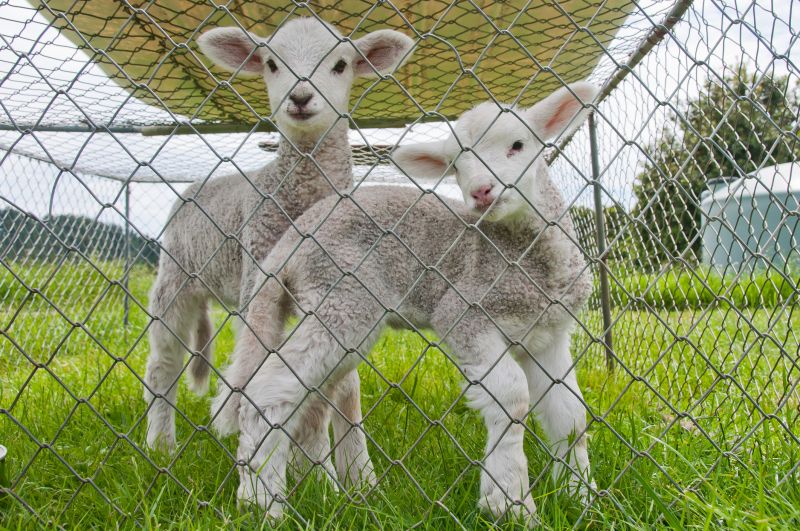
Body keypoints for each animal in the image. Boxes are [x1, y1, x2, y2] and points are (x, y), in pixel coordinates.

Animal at [143, 16, 413, 490]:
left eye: (341, 64)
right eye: (271, 64)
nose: (301, 97)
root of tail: (197, 187)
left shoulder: (337, 287)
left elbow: (344, 389)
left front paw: (358, 479)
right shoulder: (261, 272)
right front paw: (320, 477)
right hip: (175, 277)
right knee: (164, 366)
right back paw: (160, 446)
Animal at [215, 81, 599, 523]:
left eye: (518, 145)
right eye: (456, 166)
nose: (481, 192)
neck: (522, 255)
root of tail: (296, 237)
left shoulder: (547, 336)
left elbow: (571, 417)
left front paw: (583, 499)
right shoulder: (465, 314)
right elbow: (513, 399)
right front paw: (509, 502)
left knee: (308, 401)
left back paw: (318, 491)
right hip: (344, 297)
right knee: (269, 389)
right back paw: (263, 503)